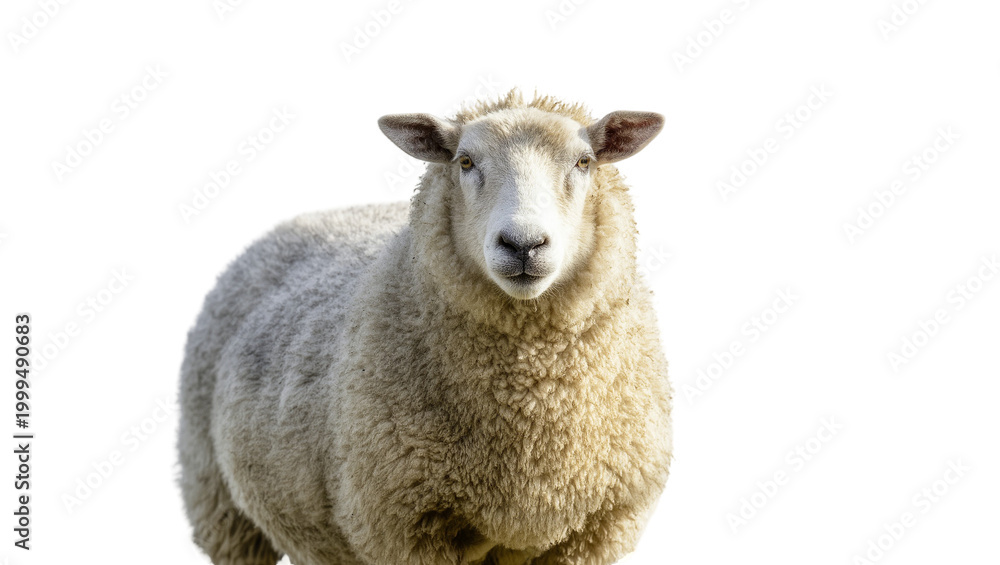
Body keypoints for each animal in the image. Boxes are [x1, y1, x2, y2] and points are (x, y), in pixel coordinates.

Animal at [178, 89, 673, 565]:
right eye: (465, 161)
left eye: (584, 161)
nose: (523, 244)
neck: (532, 415)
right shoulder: (403, 527)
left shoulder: (593, 532)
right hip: (221, 504)